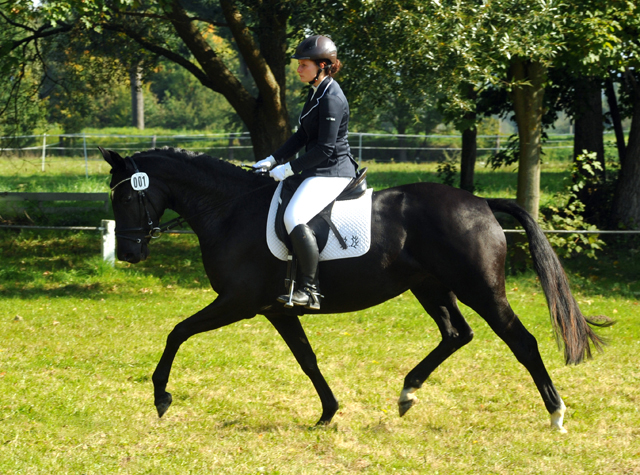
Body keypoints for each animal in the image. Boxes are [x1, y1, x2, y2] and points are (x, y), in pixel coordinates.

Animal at [100, 147, 608, 434]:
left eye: (124, 196)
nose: (128, 253)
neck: (231, 209)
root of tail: (481, 203)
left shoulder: (238, 302)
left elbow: (177, 333)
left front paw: (161, 398)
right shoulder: (277, 310)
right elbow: (307, 359)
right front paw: (328, 412)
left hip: (480, 289)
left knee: (521, 341)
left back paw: (556, 414)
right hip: (431, 287)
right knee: (456, 334)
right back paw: (407, 393)